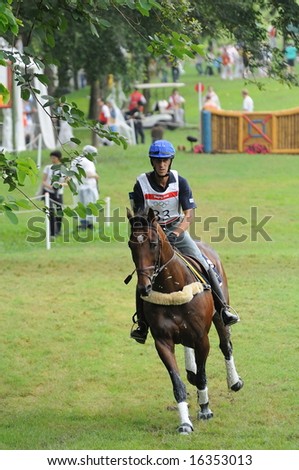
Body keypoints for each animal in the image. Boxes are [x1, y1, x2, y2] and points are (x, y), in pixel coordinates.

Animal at [126, 207, 244, 436]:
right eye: (131, 244)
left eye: (153, 244)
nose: (144, 288)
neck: (172, 286)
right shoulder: (162, 342)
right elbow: (177, 384)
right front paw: (185, 423)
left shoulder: (201, 339)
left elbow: (204, 375)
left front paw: (205, 409)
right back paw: (191, 371)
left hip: (219, 317)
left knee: (226, 346)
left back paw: (234, 381)